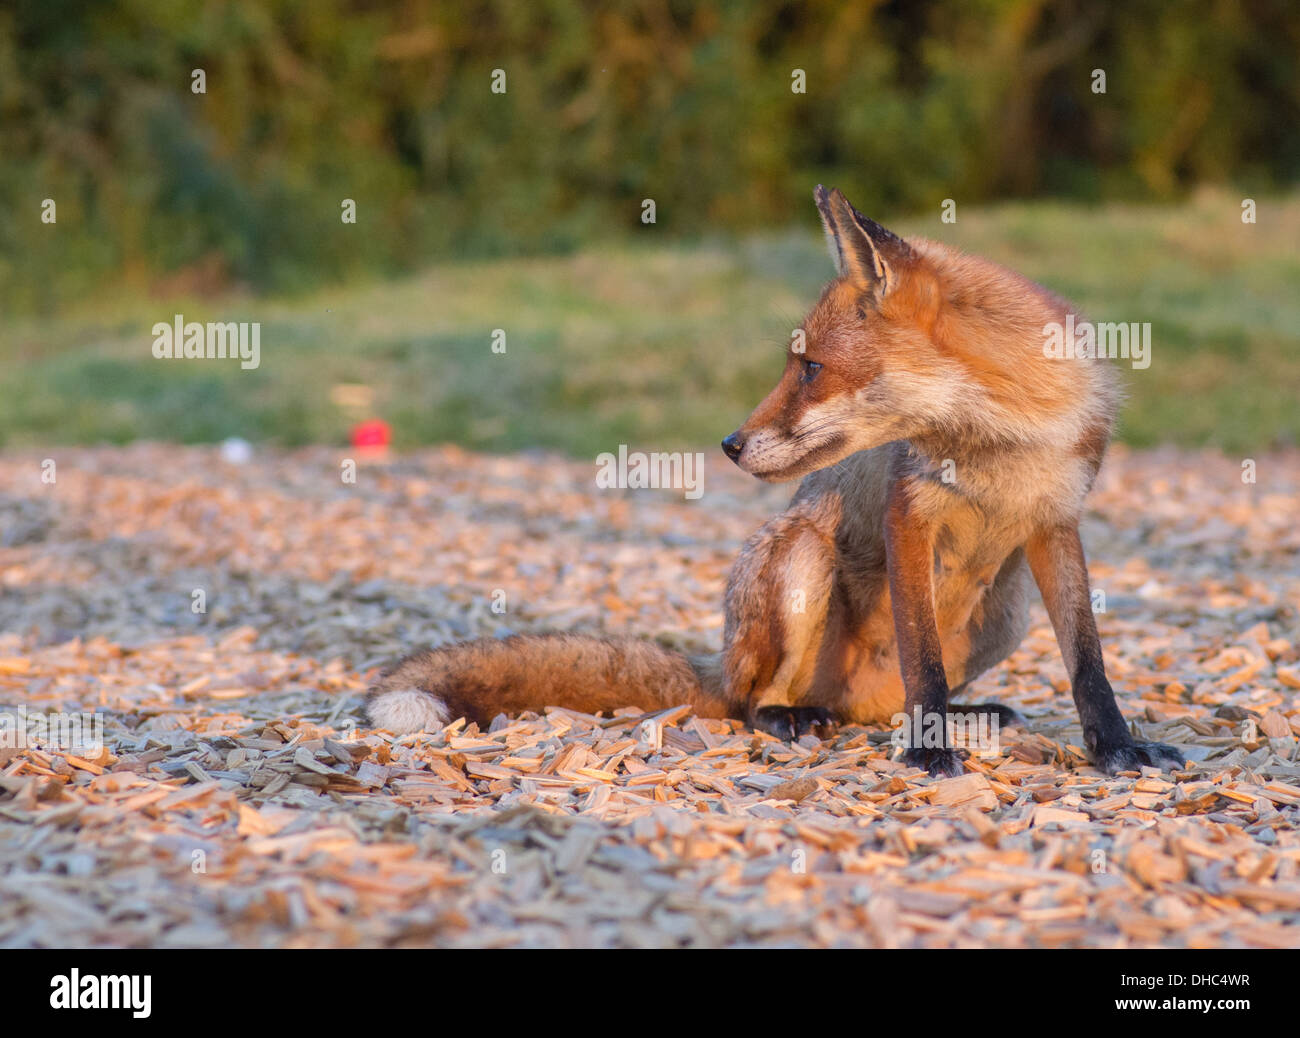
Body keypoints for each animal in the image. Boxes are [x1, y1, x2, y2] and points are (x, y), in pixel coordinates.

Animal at [361, 184, 1185, 780]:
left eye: (811, 367)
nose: (729, 444)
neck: (1002, 439)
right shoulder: (909, 513)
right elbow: (922, 654)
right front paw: (928, 752)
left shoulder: (1057, 521)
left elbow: (1087, 665)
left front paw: (1116, 748)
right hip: (801, 560)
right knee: (751, 702)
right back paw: (797, 719)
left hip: (1005, 613)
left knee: (880, 707)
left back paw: (957, 714)